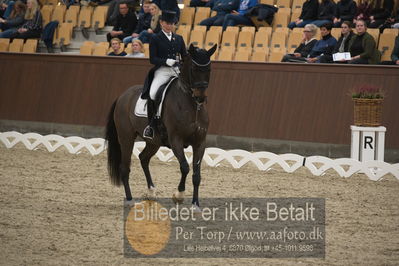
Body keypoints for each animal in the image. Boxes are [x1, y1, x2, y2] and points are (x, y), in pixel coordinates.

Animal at [104, 43, 217, 210]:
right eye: (193, 69)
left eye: (208, 69)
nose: (200, 98)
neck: (191, 106)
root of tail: (123, 96)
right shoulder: (176, 140)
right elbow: (185, 167)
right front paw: (178, 195)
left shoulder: (200, 142)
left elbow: (196, 174)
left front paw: (195, 205)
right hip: (126, 138)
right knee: (125, 167)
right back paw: (130, 200)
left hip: (153, 141)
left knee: (143, 158)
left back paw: (151, 192)